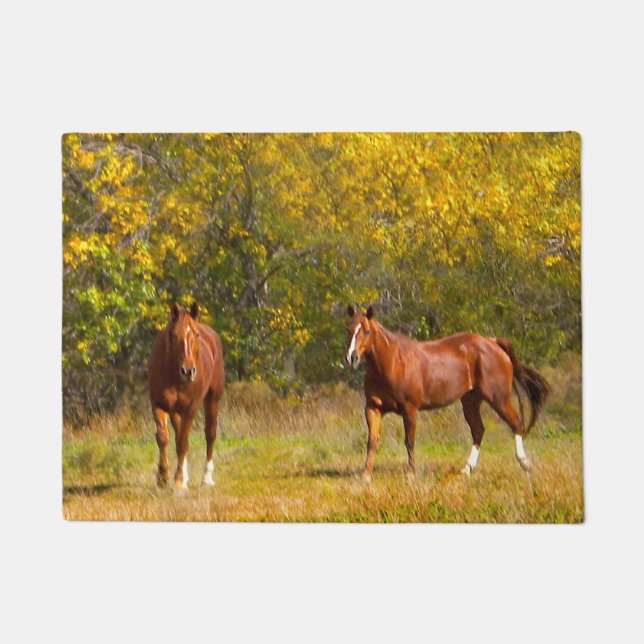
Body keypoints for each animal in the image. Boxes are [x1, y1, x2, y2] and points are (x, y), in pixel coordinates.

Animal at [148, 302, 225, 489]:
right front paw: (163, 477)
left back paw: (206, 477)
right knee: (178, 434)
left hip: (213, 397)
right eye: (174, 335)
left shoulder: (191, 407)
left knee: (210, 433)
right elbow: (163, 438)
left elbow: (183, 443)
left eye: (196, 334)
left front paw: (177, 481)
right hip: (176, 410)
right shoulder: (158, 404)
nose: (188, 371)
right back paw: (184, 475)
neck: (173, 375)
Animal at [344, 305, 550, 480]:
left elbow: (409, 441)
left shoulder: (410, 409)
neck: (392, 362)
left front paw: (411, 474)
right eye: (349, 330)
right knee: (478, 430)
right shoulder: (373, 408)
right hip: (470, 401)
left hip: (498, 398)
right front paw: (365, 475)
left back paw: (524, 463)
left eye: (366, 331)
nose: (351, 357)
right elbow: (372, 440)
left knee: (516, 422)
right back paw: (467, 469)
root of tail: (492, 342)